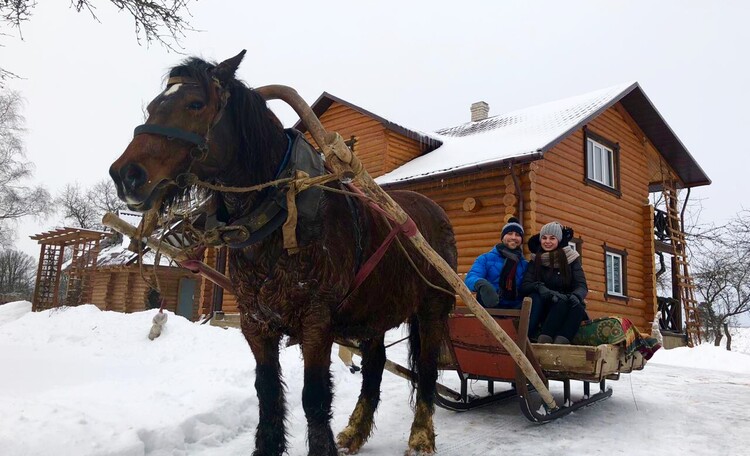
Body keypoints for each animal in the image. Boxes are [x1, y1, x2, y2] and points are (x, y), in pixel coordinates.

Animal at [108, 50, 456, 456]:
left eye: (195, 104)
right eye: (151, 107)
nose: (126, 175)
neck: (281, 213)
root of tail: (433, 209)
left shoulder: (316, 321)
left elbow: (314, 396)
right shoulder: (255, 322)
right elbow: (268, 391)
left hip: (432, 308)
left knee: (427, 368)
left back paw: (421, 435)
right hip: (375, 313)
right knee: (374, 367)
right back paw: (355, 430)